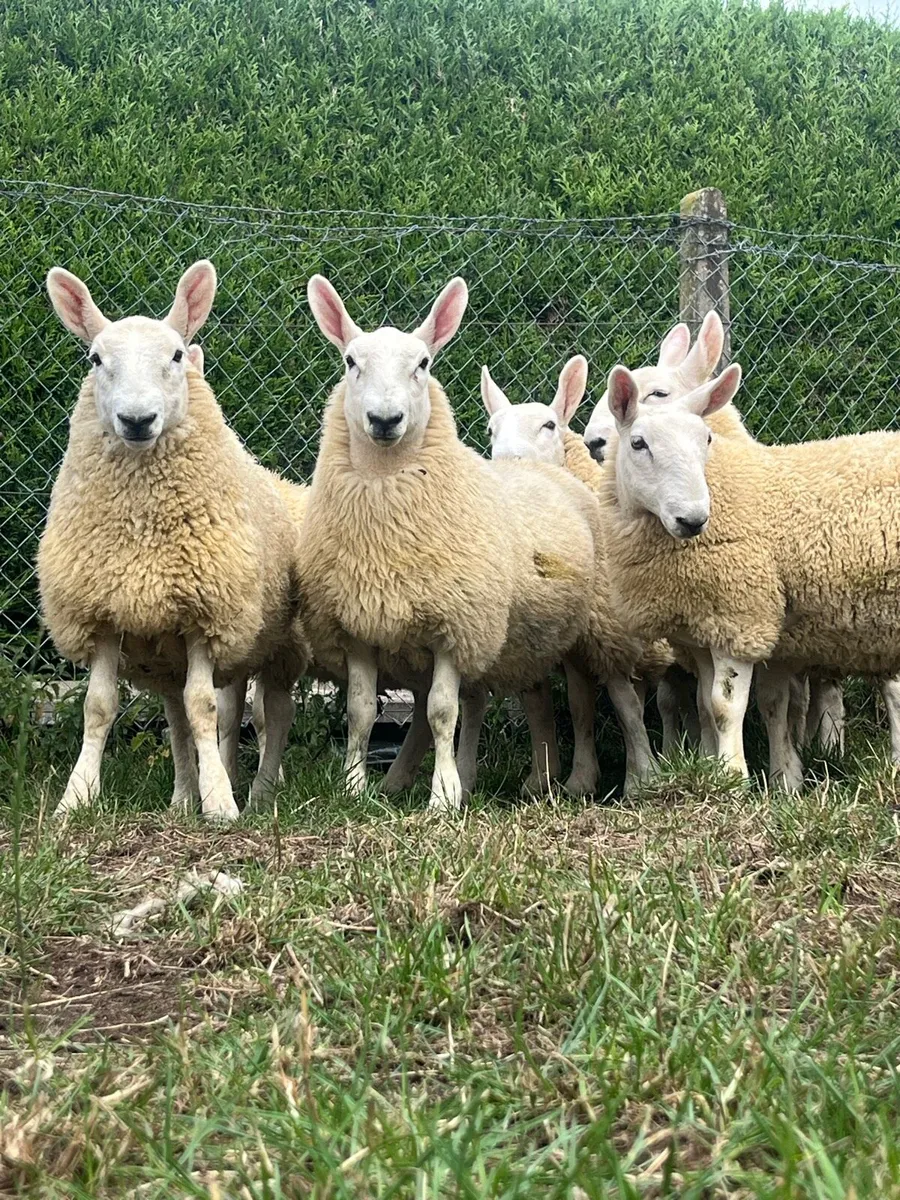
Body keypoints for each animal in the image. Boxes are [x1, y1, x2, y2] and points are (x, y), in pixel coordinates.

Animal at [39, 262, 307, 822]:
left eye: (177, 354)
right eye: (96, 359)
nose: (137, 420)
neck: (143, 529)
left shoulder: (206, 615)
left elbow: (201, 708)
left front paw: (222, 806)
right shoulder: (105, 614)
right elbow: (100, 708)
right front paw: (76, 799)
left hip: (277, 644)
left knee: (273, 714)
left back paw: (260, 792)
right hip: (176, 651)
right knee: (192, 712)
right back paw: (186, 796)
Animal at [298, 275, 600, 809]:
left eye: (423, 363)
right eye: (351, 361)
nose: (384, 419)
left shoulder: (456, 627)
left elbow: (443, 710)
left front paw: (442, 796)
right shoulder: (356, 625)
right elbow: (360, 710)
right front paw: (354, 788)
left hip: (576, 632)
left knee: (580, 702)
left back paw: (576, 779)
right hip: (518, 636)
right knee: (527, 696)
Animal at [481, 357, 656, 793]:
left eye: (549, 425)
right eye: (491, 428)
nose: (510, 460)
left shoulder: (599, 633)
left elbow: (597, 703)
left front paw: (598, 779)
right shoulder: (533, 635)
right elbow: (539, 704)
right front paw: (541, 778)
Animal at [601, 362, 900, 788]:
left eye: (707, 439)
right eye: (638, 444)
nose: (693, 519)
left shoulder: (740, 617)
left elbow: (724, 706)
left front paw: (732, 778)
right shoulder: (700, 631)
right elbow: (704, 704)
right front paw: (716, 767)